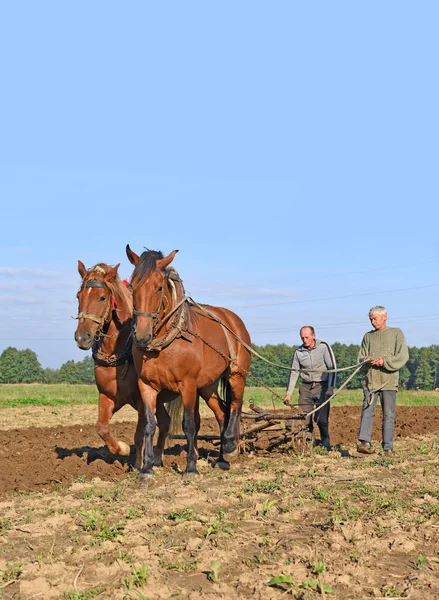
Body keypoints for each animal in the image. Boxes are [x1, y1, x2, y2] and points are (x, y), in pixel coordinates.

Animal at [74, 260, 180, 466]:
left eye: (102, 297)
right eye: (78, 296)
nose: (82, 337)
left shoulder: (140, 400)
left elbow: (139, 434)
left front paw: (138, 463)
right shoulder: (108, 396)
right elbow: (101, 427)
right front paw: (121, 449)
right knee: (165, 421)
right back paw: (158, 456)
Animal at [125, 244, 253, 478]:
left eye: (159, 287)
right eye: (132, 287)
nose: (141, 336)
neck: (166, 345)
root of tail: (234, 319)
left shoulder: (188, 385)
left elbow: (190, 425)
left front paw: (191, 467)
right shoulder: (146, 385)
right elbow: (149, 424)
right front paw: (146, 468)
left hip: (236, 373)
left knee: (235, 406)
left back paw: (230, 447)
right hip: (208, 386)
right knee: (221, 412)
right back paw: (222, 459)